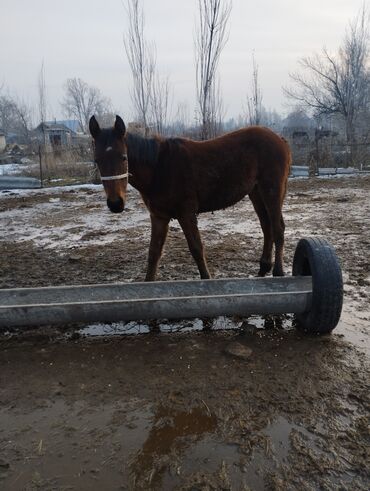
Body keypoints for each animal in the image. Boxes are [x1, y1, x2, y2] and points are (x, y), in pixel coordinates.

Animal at [88, 116, 290, 282]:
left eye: (124, 157)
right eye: (96, 160)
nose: (115, 204)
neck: (160, 168)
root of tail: (279, 138)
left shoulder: (186, 214)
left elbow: (196, 248)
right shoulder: (159, 216)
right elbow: (154, 252)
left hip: (271, 190)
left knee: (278, 228)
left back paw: (278, 272)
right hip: (256, 193)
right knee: (267, 227)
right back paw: (263, 269)